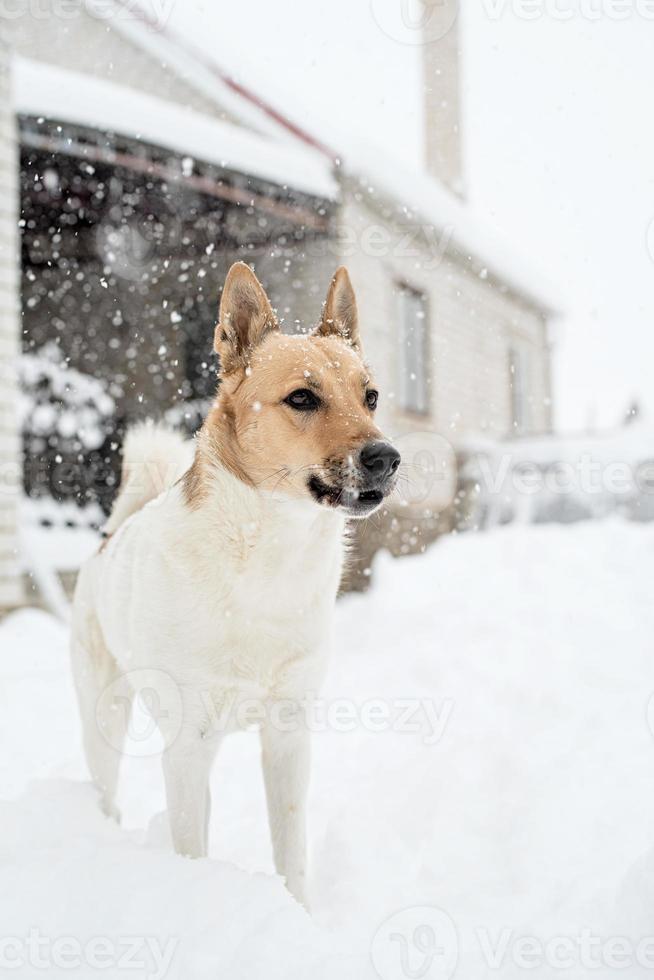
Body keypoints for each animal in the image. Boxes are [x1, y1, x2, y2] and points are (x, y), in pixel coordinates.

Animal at [70, 264, 400, 908]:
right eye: (302, 398)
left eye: (370, 397)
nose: (387, 457)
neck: (267, 556)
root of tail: (112, 535)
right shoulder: (187, 742)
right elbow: (190, 848)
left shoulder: (289, 736)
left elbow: (292, 853)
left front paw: (299, 914)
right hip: (106, 714)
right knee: (106, 790)